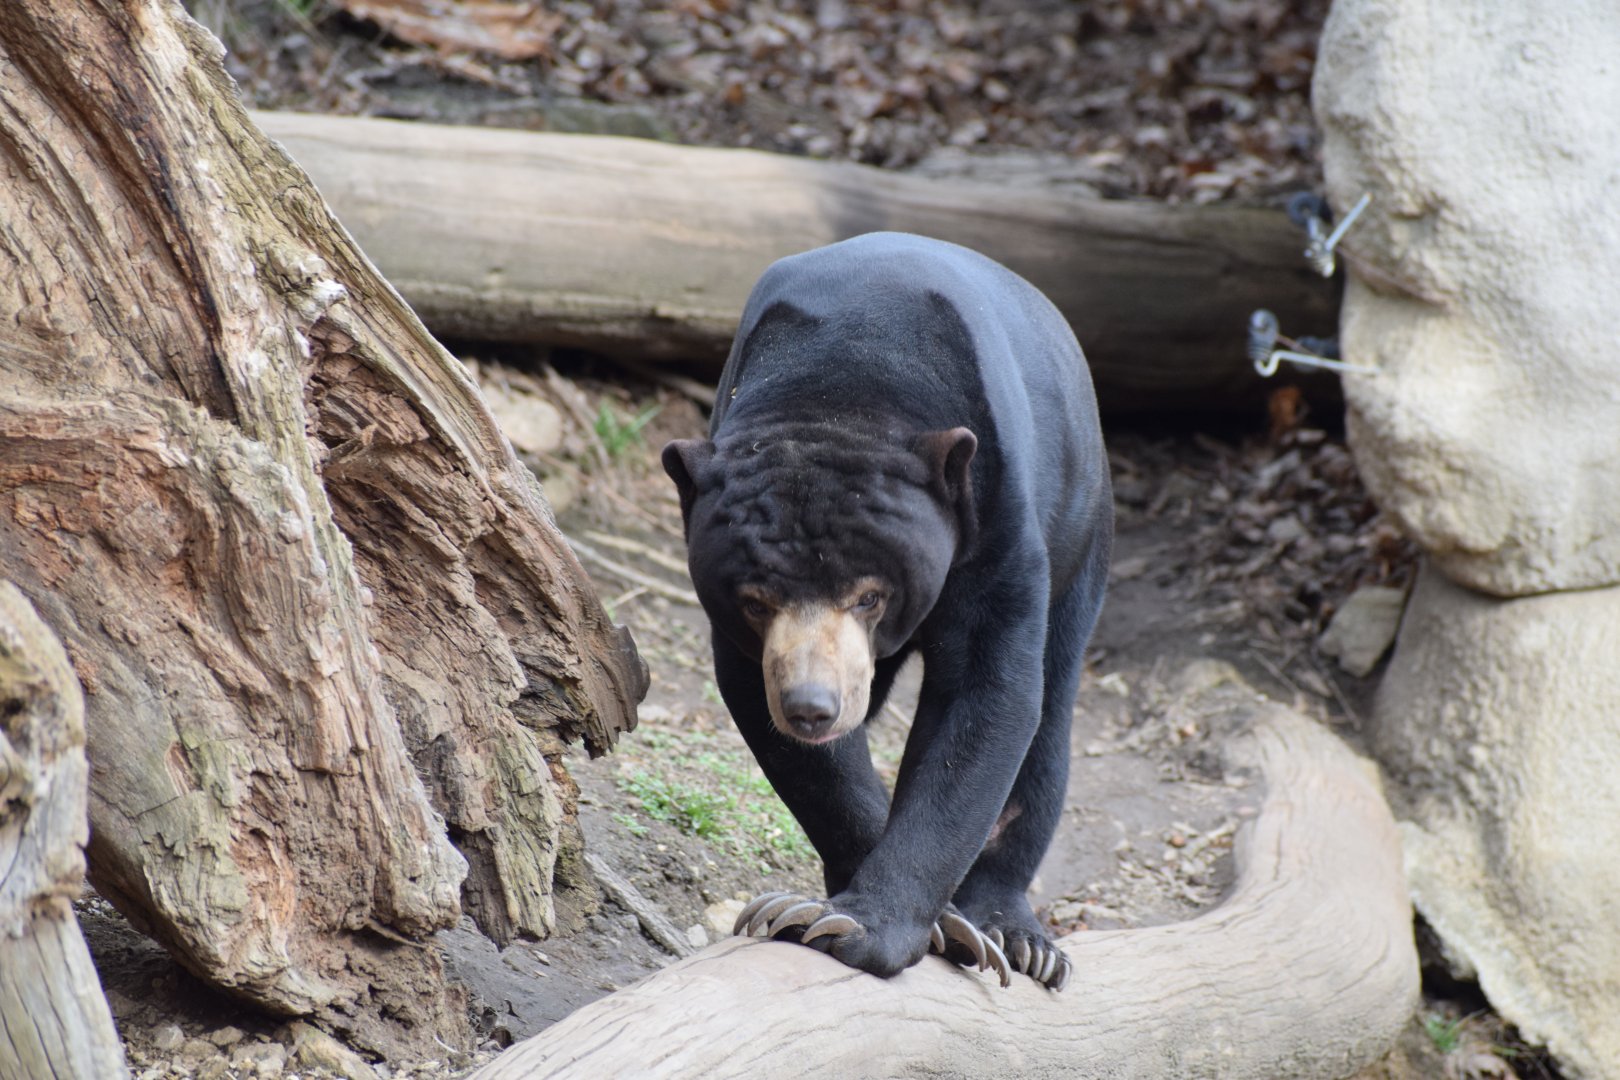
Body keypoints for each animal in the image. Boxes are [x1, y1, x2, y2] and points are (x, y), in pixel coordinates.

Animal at [662, 232, 1112, 990]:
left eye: (870, 594)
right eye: (755, 601)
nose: (811, 706)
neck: (843, 385)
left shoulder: (995, 522)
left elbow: (986, 700)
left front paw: (884, 927)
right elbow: (789, 735)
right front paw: (815, 912)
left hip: (1083, 533)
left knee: (1050, 723)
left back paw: (1021, 937)